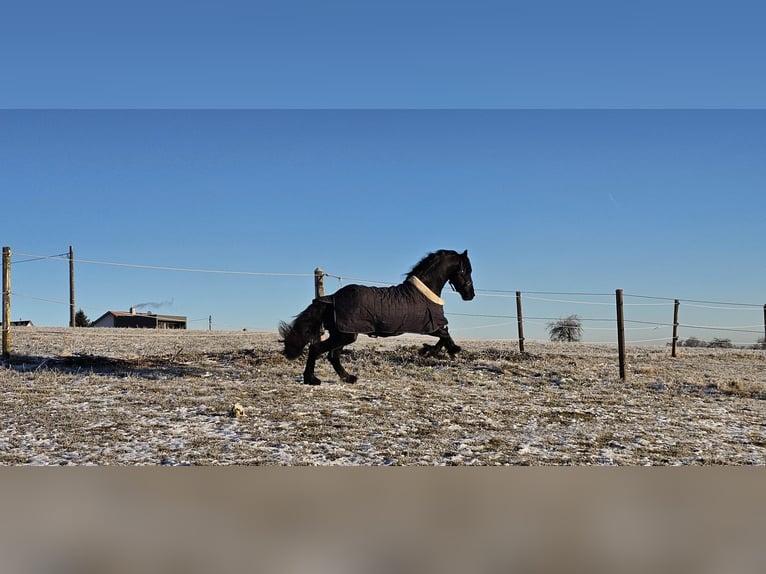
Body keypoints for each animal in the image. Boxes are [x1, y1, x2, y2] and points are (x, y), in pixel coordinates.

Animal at [279, 249, 475, 385]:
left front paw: (428, 350)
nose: (470, 295)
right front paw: (446, 349)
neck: (424, 290)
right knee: (316, 349)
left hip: (343, 334)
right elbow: (445, 334)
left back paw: (348, 378)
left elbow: (444, 336)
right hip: (345, 334)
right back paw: (311, 379)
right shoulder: (429, 325)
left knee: (332, 356)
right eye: (465, 270)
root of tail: (332, 298)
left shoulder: (430, 326)